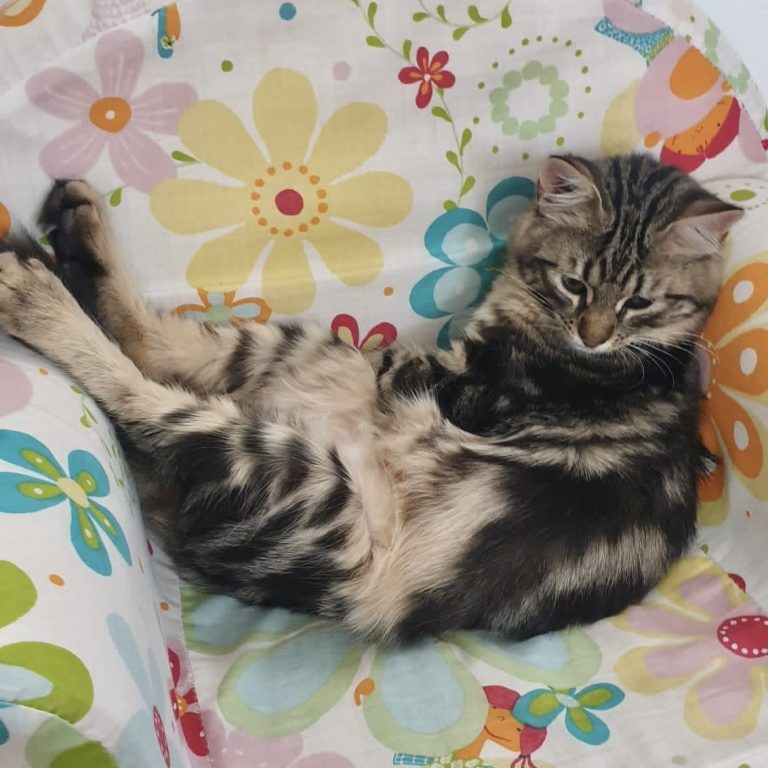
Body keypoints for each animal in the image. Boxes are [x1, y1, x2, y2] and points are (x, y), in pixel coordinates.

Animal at [0, 153, 742, 643]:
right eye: (574, 284)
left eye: (639, 303)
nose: (594, 336)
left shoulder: (461, 387)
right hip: (291, 375)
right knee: (167, 344)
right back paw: (77, 228)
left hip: (294, 464)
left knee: (145, 381)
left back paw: (37, 294)